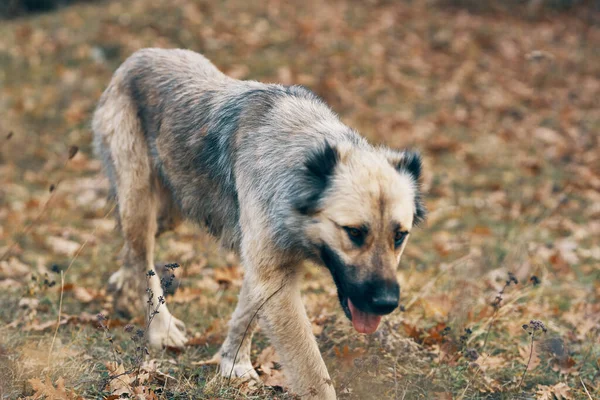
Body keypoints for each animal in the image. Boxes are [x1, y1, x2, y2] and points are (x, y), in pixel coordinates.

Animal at [91, 48, 424, 398]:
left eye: (399, 236)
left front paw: (232, 364)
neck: (298, 163)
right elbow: (312, 370)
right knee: (143, 257)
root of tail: (138, 56)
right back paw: (160, 329)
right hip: (140, 202)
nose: (386, 303)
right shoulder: (274, 276)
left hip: (171, 210)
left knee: (134, 252)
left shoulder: (264, 266)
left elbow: (246, 314)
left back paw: (122, 287)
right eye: (355, 232)